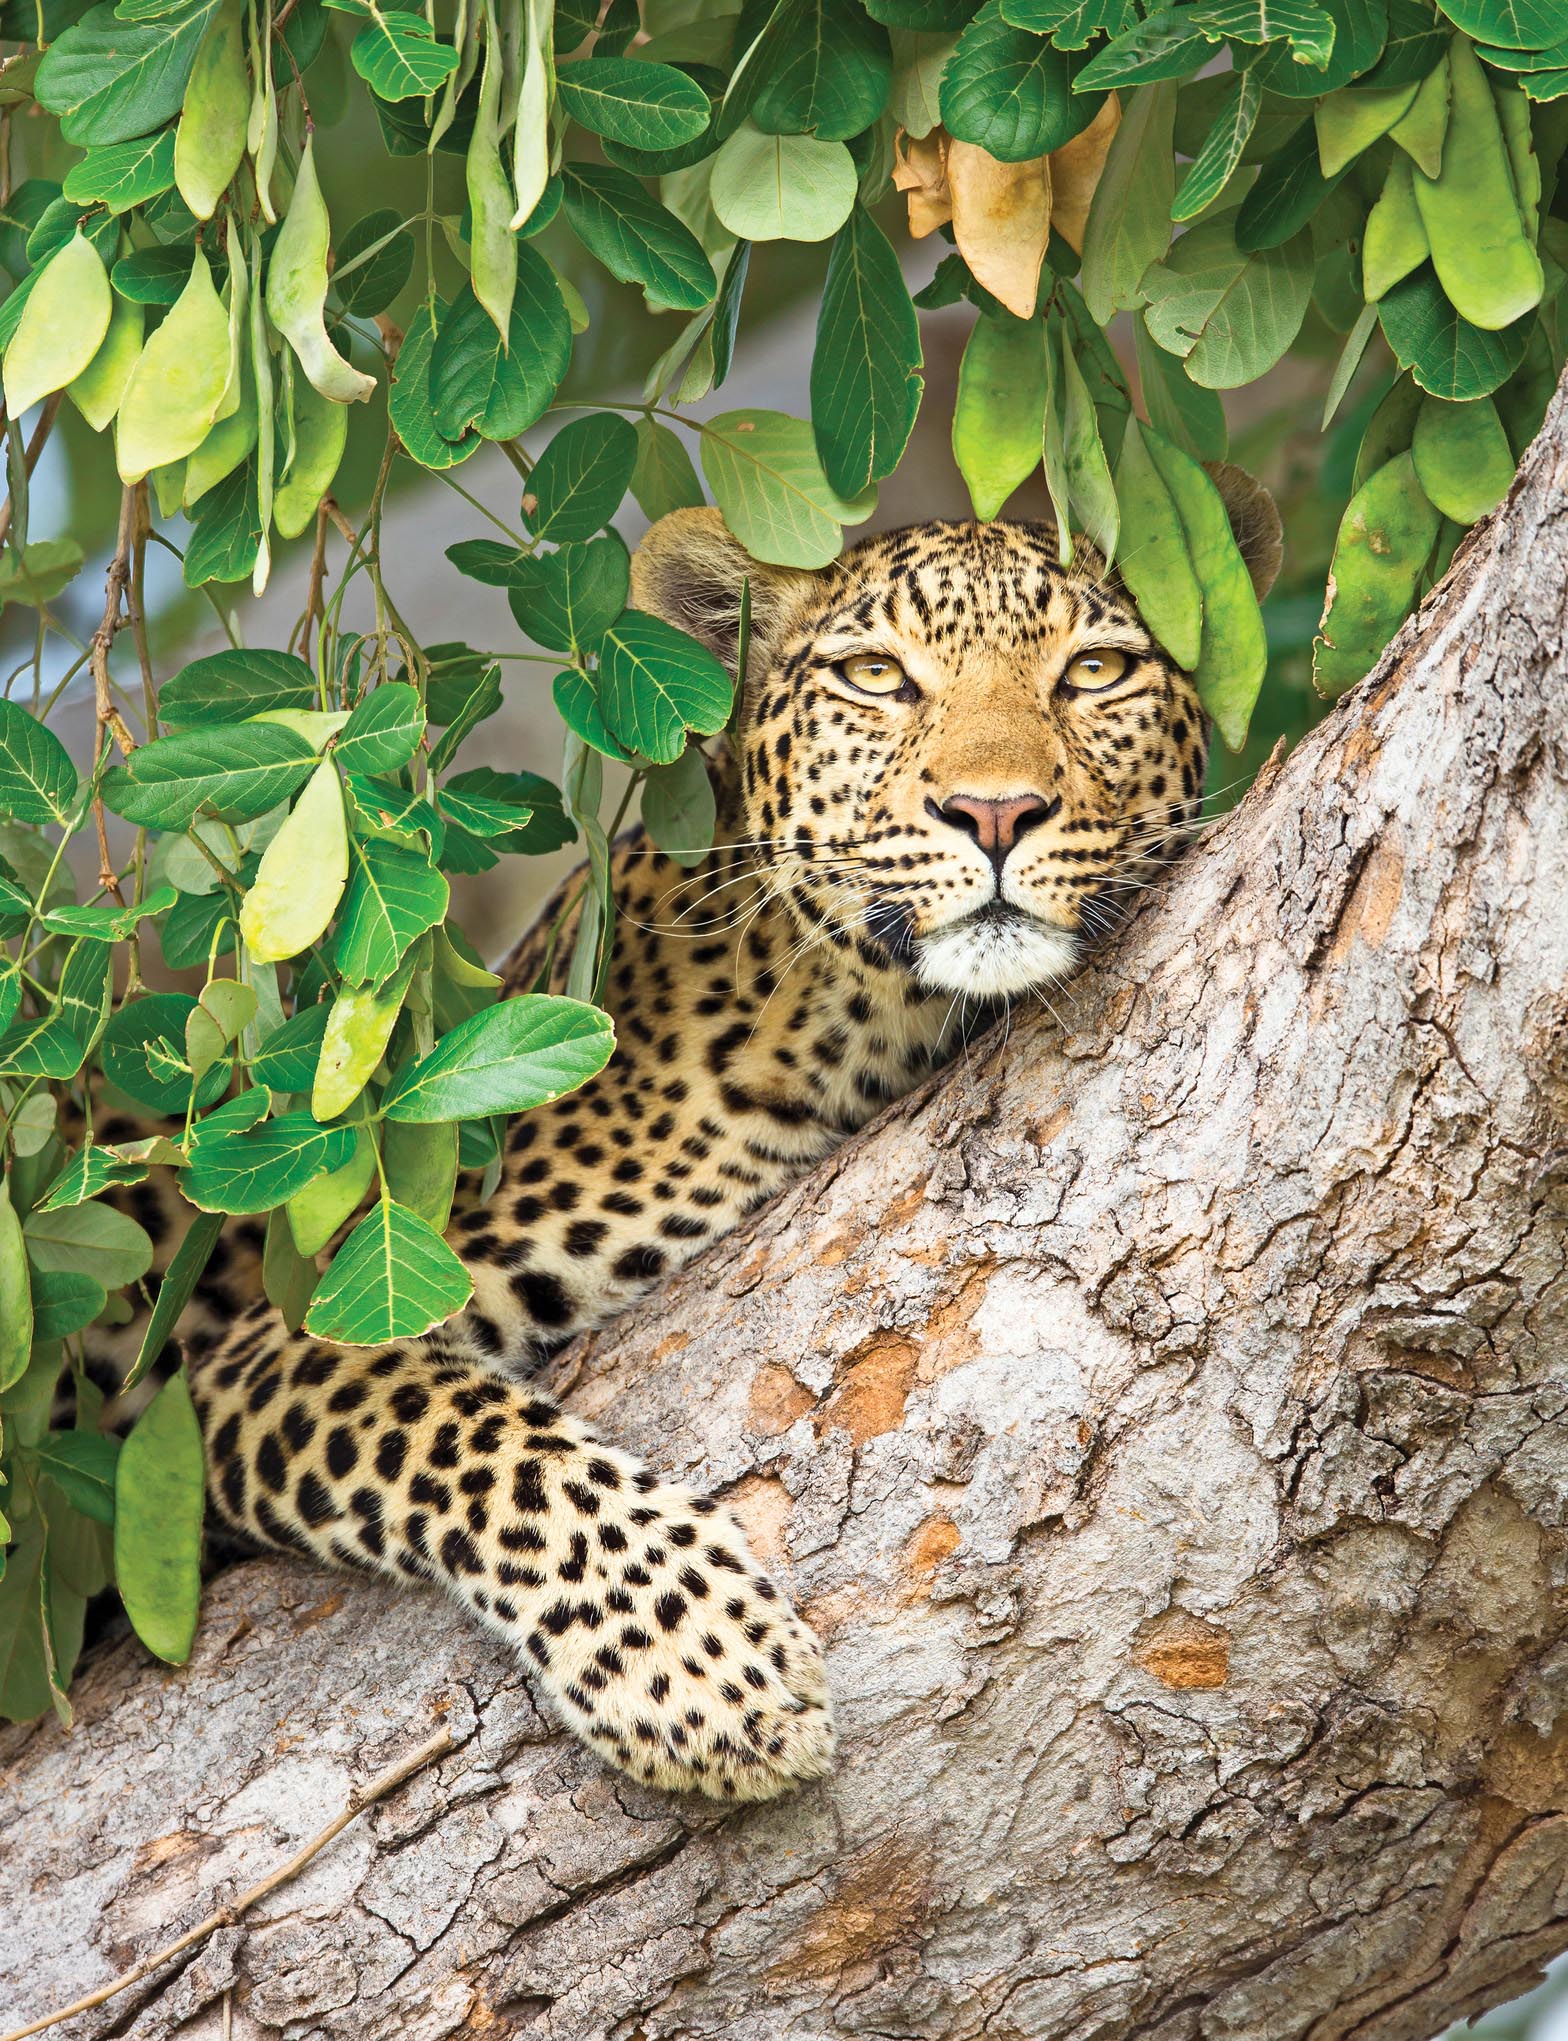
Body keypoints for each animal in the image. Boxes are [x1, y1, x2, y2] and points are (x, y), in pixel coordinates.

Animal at [94, 493, 1274, 1804]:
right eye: (876, 676)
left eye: (1095, 672)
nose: (996, 813)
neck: (851, 1019)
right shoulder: (290, 1341)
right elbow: (480, 1439)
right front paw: (698, 1666)